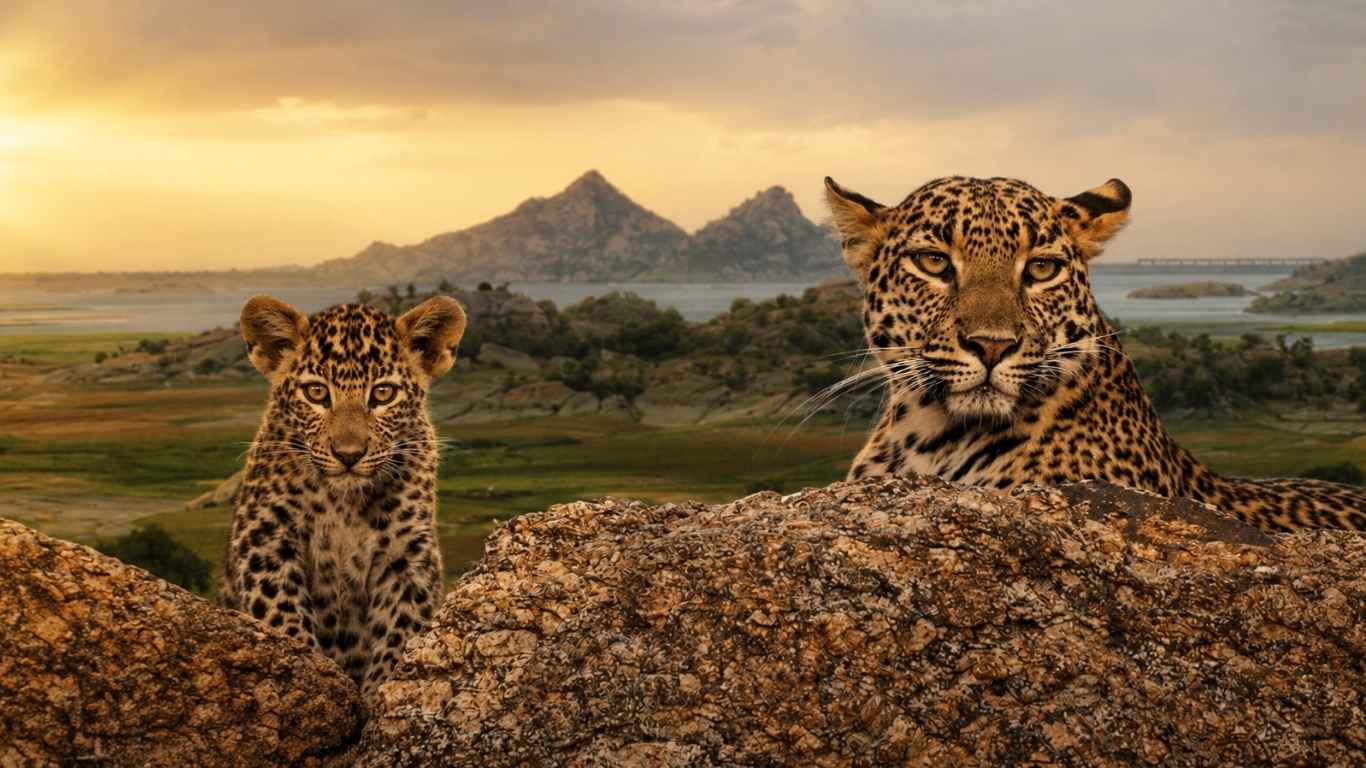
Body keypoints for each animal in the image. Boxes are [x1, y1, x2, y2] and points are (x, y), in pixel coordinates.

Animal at [220, 293, 466, 696]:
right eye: (317, 392)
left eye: (383, 393)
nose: (349, 454)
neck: (343, 505)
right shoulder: (264, 536)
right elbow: (282, 613)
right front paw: (307, 671)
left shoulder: (408, 555)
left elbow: (400, 628)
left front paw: (379, 691)